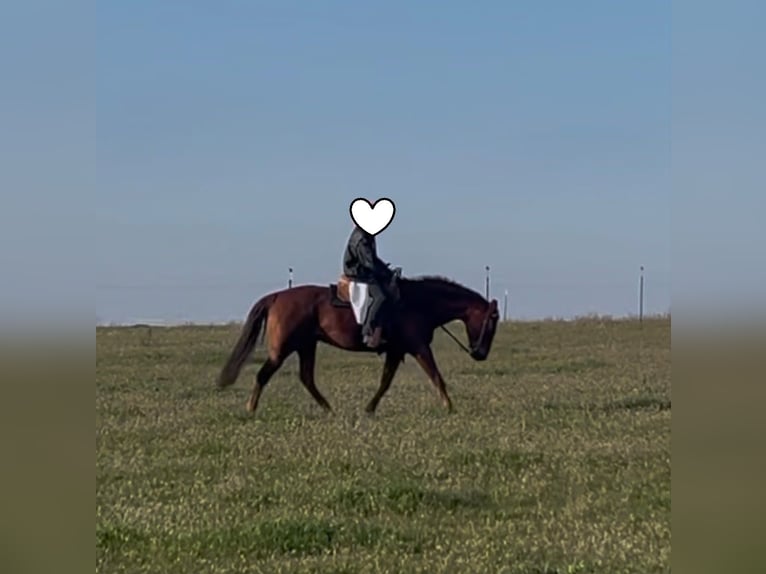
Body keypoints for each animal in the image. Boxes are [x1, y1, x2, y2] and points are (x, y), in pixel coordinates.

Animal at [216, 275, 500, 415]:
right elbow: (437, 377)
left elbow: (385, 383)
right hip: (283, 349)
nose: (481, 354)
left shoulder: (396, 351)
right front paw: (450, 408)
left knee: (306, 378)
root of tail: (277, 297)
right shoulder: (418, 348)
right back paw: (251, 408)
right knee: (264, 375)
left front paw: (369, 409)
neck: (418, 303)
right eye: (492, 321)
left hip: (306, 346)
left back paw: (329, 409)